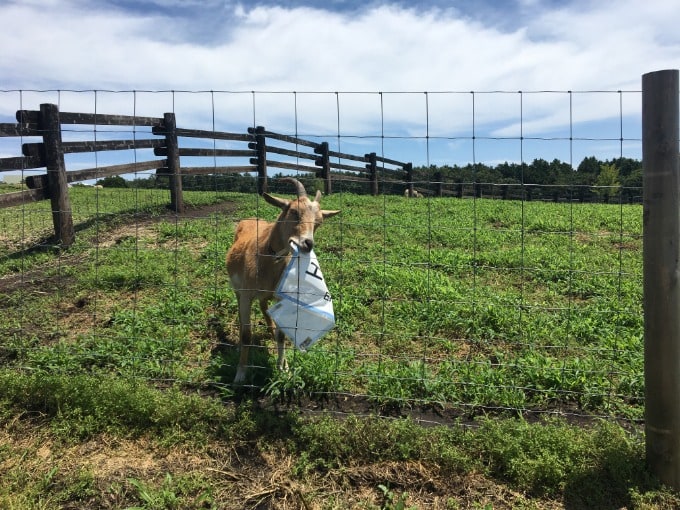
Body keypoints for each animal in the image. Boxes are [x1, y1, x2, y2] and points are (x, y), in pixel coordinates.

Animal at [226, 177, 340, 380]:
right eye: (294, 211)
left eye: (318, 222)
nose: (307, 244)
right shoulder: (246, 295)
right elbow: (247, 334)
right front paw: (240, 374)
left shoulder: (280, 297)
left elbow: (282, 336)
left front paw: (283, 367)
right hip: (238, 290)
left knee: (264, 305)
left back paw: (271, 330)